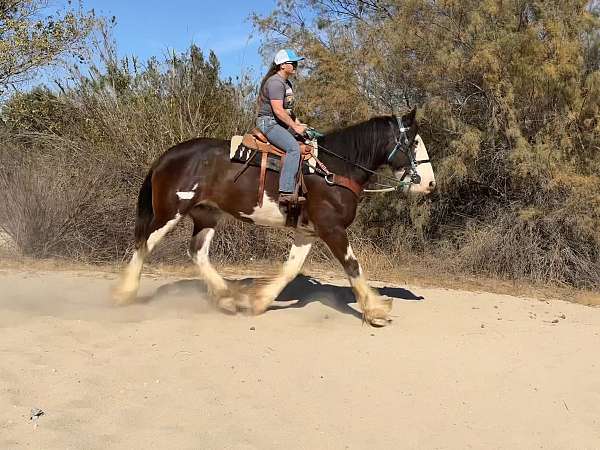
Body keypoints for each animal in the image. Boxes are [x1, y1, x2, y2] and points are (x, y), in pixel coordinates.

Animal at [111, 109, 436, 326]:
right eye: (414, 142)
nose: (430, 183)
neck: (332, 169)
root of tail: (166, 156)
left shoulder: (309, 232)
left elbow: (291, 269)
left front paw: (259, 300)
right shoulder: (331, 229)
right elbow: (352, 266)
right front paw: (375, 310)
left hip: (207, 215)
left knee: (197, 253)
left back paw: (227, 296)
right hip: (170, 213)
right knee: (144, 245)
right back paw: (124, 293)